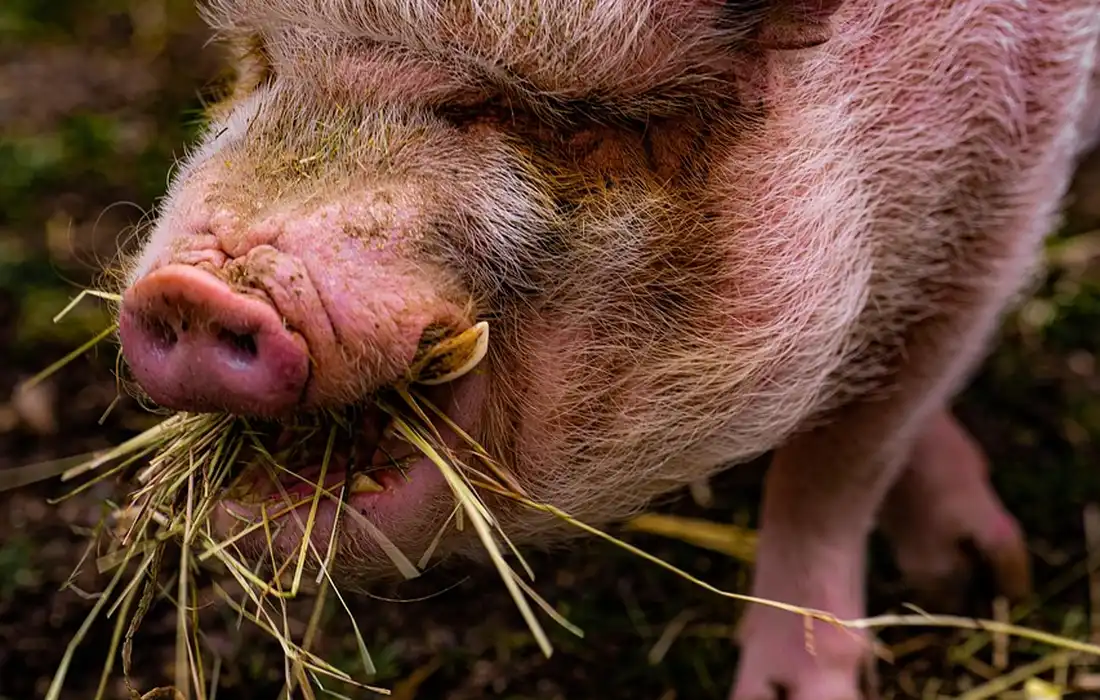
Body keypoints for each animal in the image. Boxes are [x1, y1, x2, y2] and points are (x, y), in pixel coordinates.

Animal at [111, 0, 1100, 698]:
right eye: (269, 67)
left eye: (483, 107)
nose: (191, 293)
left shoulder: (1008, 192)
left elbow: (845, 455)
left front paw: (960, 587)